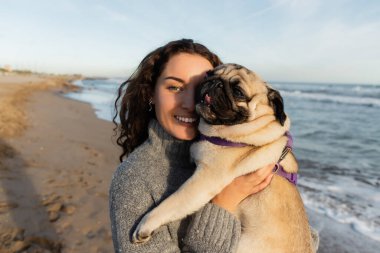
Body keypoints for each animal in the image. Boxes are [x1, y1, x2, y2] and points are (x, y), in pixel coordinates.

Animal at [132, 63, 316, 253]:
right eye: (209, 74)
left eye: (238, 92)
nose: (215, 82)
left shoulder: (204, 180)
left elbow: (172, 202)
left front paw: (146, 223)